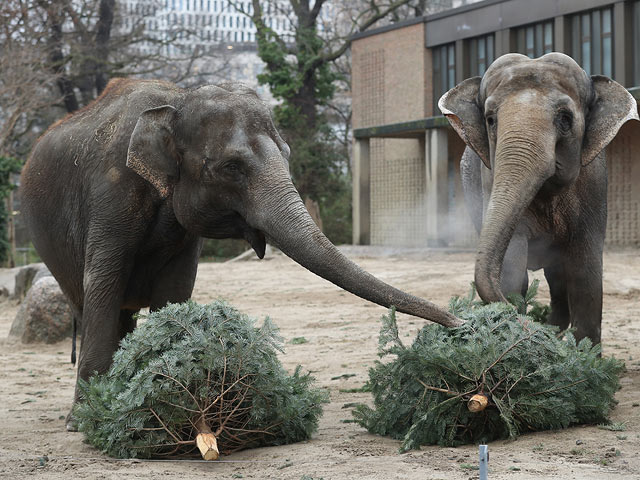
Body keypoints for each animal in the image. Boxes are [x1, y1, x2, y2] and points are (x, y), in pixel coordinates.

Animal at [20, 79, 460, 432]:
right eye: (232, 167)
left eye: (287, 153)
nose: (459, 323)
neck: (177, 99)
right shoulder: (110, 193)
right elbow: (104, 283)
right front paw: (84, 424)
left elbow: (175, 290)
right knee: (89, 304)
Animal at [440, 52, 640, 344]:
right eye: (490, 119)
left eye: (565, 118)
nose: (513, 312)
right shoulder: (490, 178)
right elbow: (512, 266)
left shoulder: (593, 183)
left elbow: (586, 273)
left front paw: (587, 353)